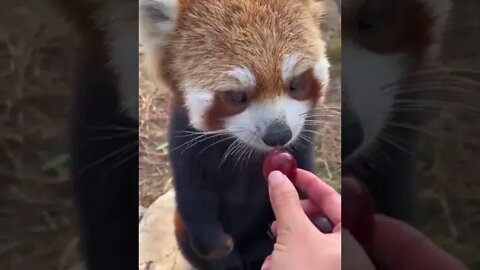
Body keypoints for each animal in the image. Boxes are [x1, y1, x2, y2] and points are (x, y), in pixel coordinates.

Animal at [141, 0, 332, 270]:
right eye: (237, 96)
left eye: (296, 84)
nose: (278, 135)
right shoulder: (184, 138)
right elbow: (193, 194)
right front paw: (216, 243)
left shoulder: (303, 134)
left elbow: (303, 169)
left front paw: (314, 217)